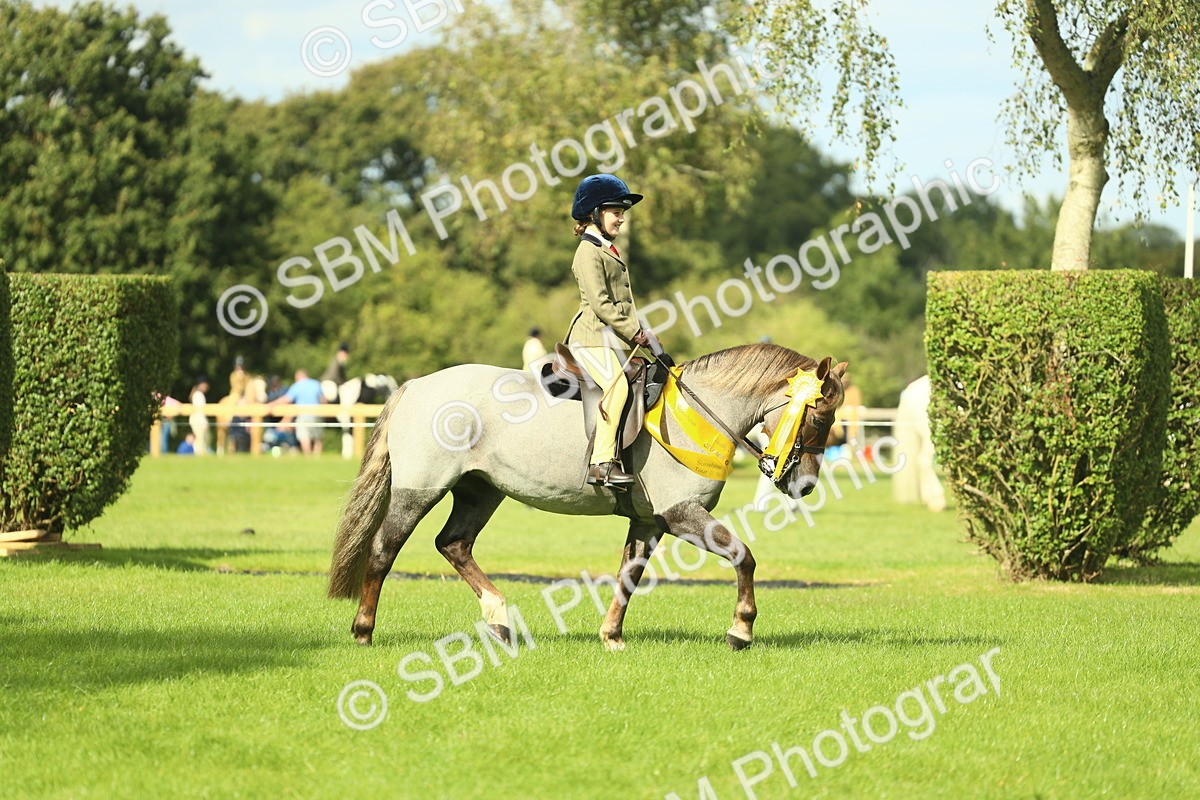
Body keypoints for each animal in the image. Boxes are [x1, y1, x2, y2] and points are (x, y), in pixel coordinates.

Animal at [328, 343, 848, 651]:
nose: (804, 486)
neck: (696, 412)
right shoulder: (681, 514)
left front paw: (611, 635)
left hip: (481, 491)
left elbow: (628, 576)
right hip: (419, 490)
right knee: (384, 549)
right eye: (820, 418)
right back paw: (363, 631)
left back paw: (499, 620)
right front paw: (740, 629)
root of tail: (417, 385)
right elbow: (744, 557)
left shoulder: (650, 521)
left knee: (453, 544)